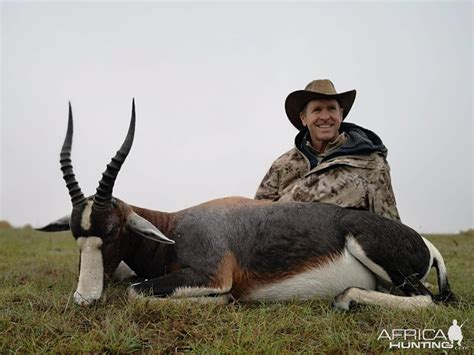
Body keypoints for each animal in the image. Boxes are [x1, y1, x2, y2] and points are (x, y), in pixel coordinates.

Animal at [39, 101, 456, 310]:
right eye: (76, 236)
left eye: (112, 232)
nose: (84, 299)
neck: (175, 228)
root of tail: (426, 244)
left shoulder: (211, 275)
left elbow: (137, 292)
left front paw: (223, 302)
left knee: (428, 301)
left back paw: (345, 299)